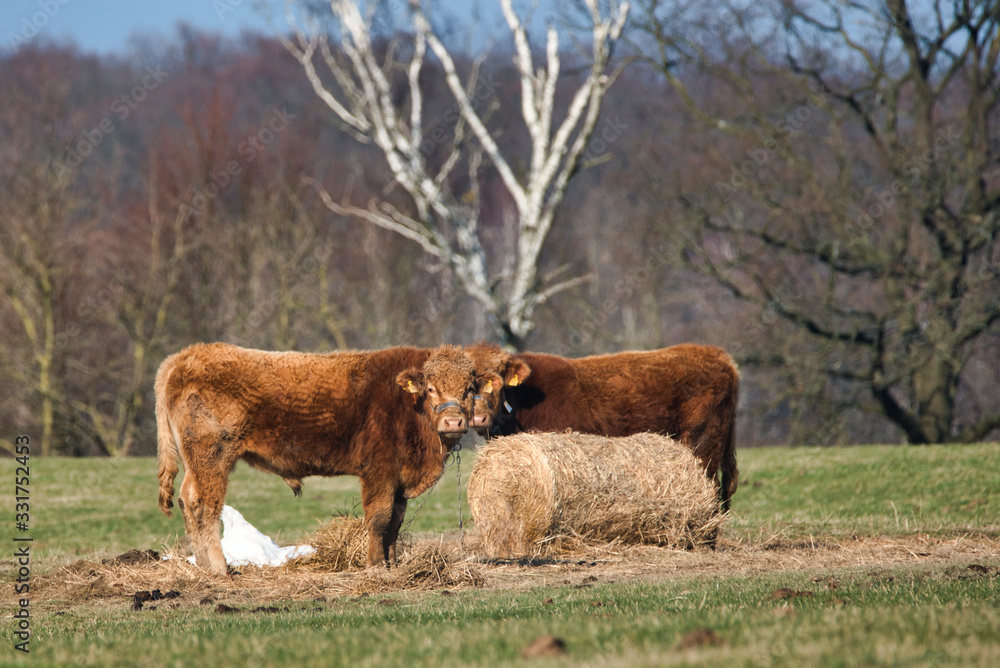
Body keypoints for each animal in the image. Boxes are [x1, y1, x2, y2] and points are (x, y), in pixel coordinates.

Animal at [156, 343, 477, 575]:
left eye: (468, 390)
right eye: (431, 388)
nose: (453, 421)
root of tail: (189, 354)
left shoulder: (399, 481)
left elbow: (395, 524)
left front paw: (392, 565)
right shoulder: (379, 471)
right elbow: (379, 519)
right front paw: (375, 567)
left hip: (196, 464)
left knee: (186, 499)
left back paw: (204, 566)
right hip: (212, 458)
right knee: (204, 505)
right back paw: (219, 569)